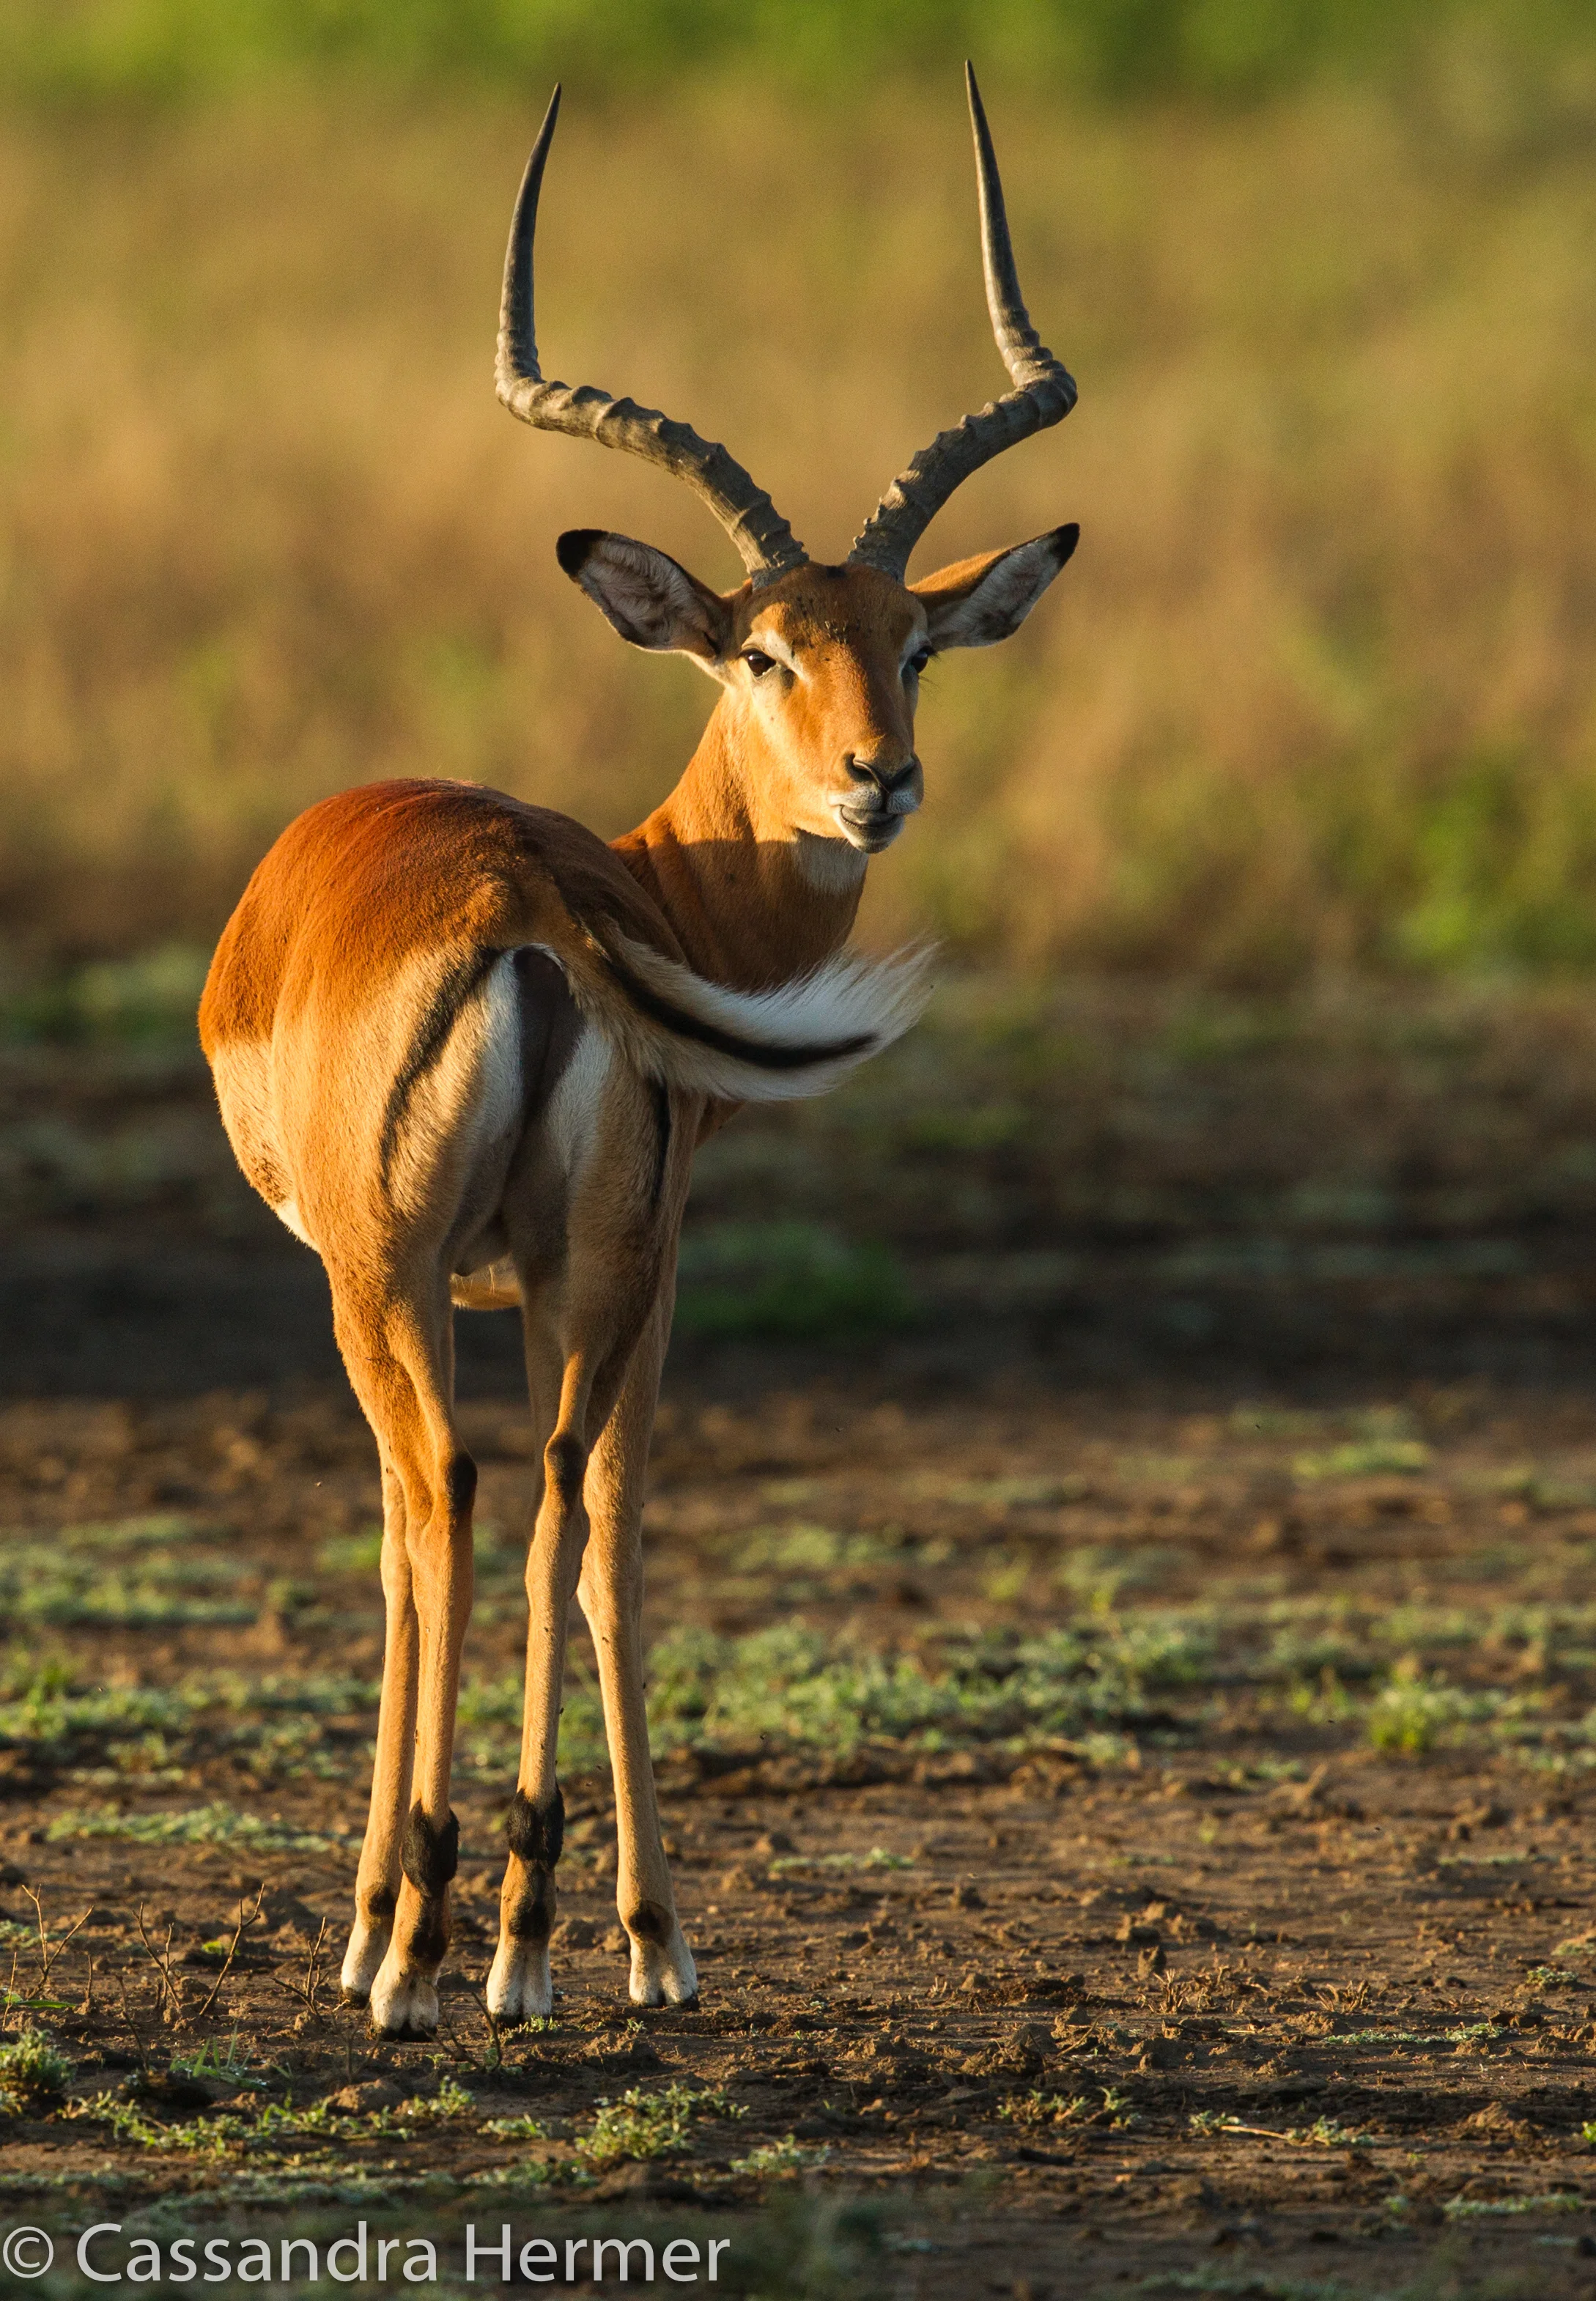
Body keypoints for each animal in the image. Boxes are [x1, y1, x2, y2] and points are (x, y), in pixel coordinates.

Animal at [199, 65, 1078, 2038]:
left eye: (913, 642)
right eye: (765, 650)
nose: (879, 778)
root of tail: (524, 890)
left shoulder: (406, 1275)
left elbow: (415, 1539)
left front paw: (399, 1918)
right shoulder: (629, 1266)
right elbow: (594, 1524)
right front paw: (627, 1933)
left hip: (425, 1270)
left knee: (464, 1500)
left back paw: (440, 1940)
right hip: (573, 1265)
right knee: (553, 1502)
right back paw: (531, 1924)